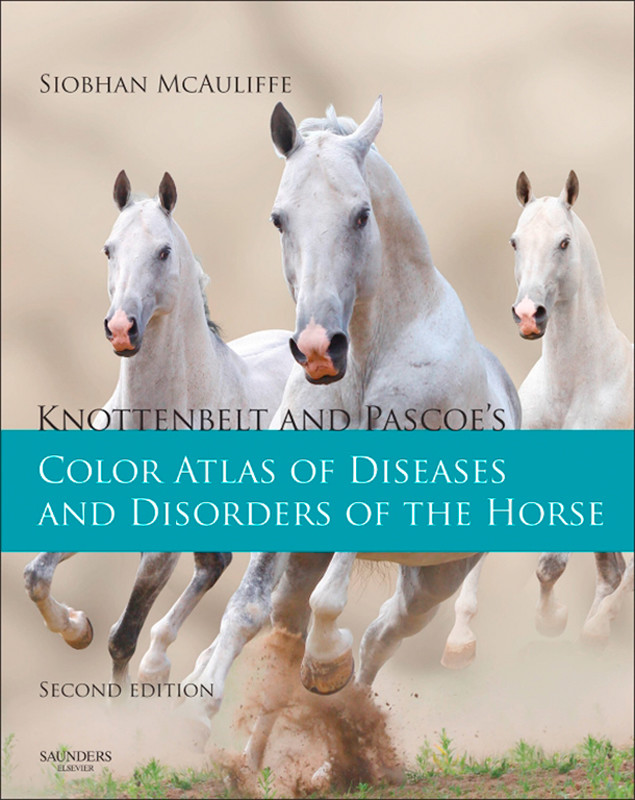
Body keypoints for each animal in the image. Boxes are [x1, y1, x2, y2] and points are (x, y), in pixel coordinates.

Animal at [24, 171, 294, 687]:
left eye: (164, 251)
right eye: (108, 249)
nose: (121, 329)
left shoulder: (161, 550)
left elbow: (121, 638)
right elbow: (36, 576)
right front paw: (77, 629)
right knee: (215, 565)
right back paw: (162, 663)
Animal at [180, 99, 520, 767]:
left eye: (361, 214)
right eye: (279, 218)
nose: (318, 349)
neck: (369, 356)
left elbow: (330, 607)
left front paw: (324, 665)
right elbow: (247, 610)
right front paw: (201, 703)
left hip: (434, 581)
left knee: (378, 638)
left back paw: (344, 734)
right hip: (313, 560)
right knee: (289, 633)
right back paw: (255, 761)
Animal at [510, 171, 634, 643]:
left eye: (563, 242)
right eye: (515, 242)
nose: (530, 315)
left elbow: (554, 563)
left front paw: (561, 620)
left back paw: (599, 625)